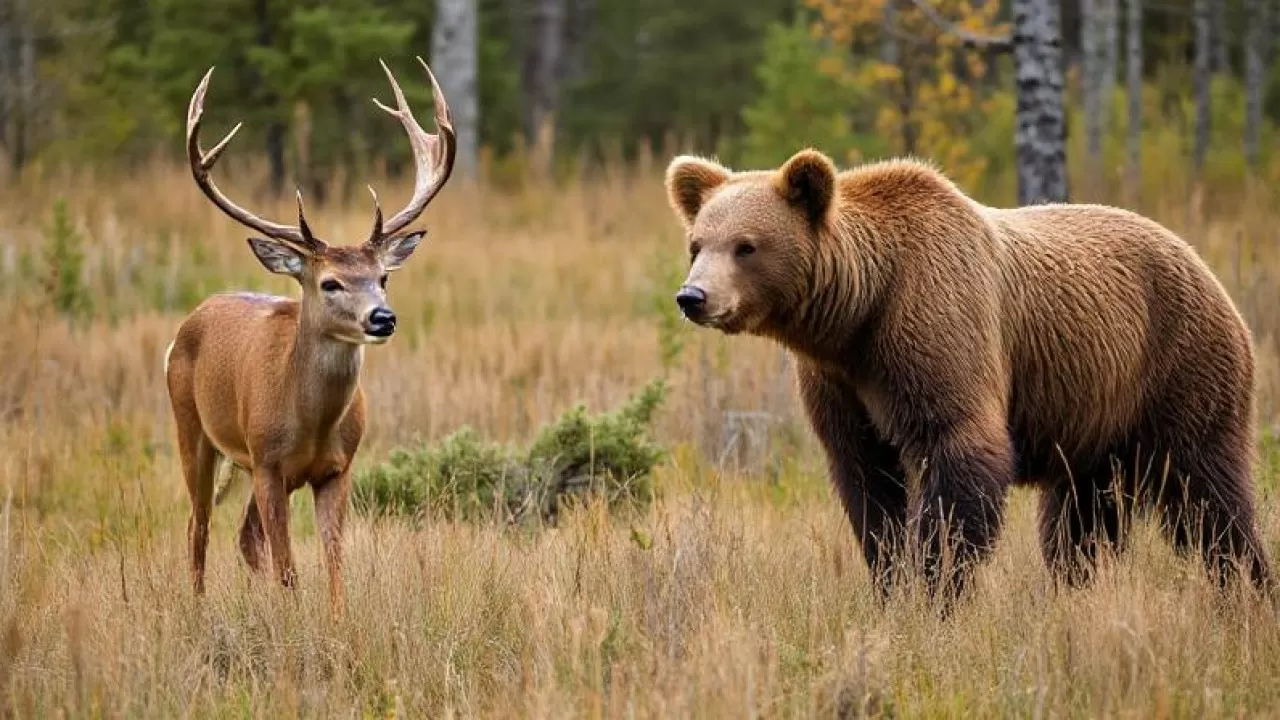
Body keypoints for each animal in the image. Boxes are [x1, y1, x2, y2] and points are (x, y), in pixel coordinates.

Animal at [162, 57, 458, 617]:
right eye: (330, 282)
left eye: (383, 277)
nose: (382, 318)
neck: (312, 422)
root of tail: (192, 319)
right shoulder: (267, 461)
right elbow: (289, 567)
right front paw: (295, 622)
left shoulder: (337, 468)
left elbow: (334, 563)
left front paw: (335, 624)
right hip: (193, 427)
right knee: (197, 525)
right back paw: (196, 609)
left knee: (243, 536)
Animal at [665, 148, 1274, 602]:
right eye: (697, 243)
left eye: (746, 246)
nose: (694, 296)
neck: (860, 313)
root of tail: (1203, 264)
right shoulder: (839, 383)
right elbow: (867, 480)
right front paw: (890, 578)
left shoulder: (936, 329)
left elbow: (958, 454)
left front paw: (936, 587)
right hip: (1095, 417)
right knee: (1080, 519)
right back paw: (1074, 588)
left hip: (1181, 366)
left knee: (1208, 495)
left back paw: (1247, 587)